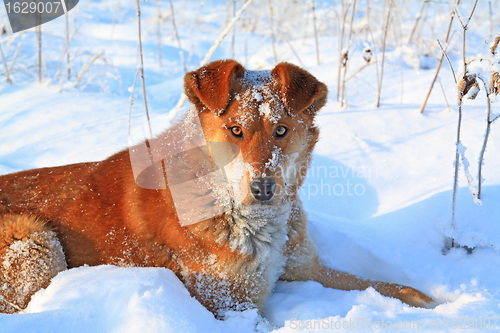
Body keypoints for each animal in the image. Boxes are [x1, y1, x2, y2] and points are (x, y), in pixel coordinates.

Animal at [0, 59, 434, 314]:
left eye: (281, 130)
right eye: (235, 131)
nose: (263, 189)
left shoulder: (303, 266)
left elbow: (380, 284)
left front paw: (423, 299)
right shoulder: (232, 305)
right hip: (34, 240)